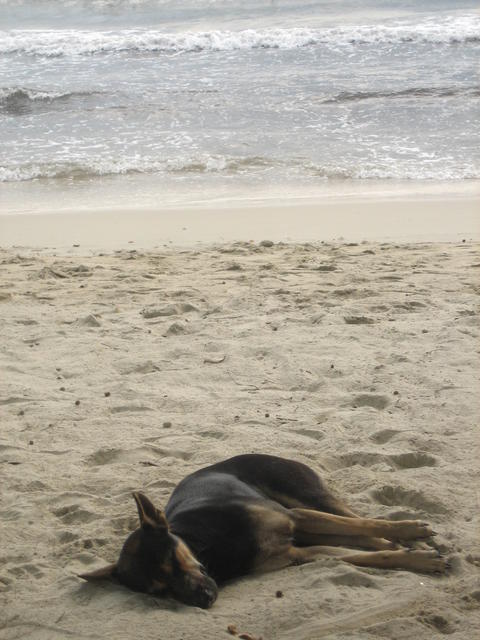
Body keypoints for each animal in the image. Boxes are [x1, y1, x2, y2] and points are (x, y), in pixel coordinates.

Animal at [79, 452, 450, 608]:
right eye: (159, 591)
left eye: (172, 560)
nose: (204, 601)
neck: (208, 547)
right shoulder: (303, 553)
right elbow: (368, 557)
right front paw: (416, 560)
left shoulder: (294, 518)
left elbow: (368, 523)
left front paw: (414, 535)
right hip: (312, 526)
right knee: (366, 539)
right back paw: (409, 547)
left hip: (308, 498)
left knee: (359, 521)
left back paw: (412, 536)